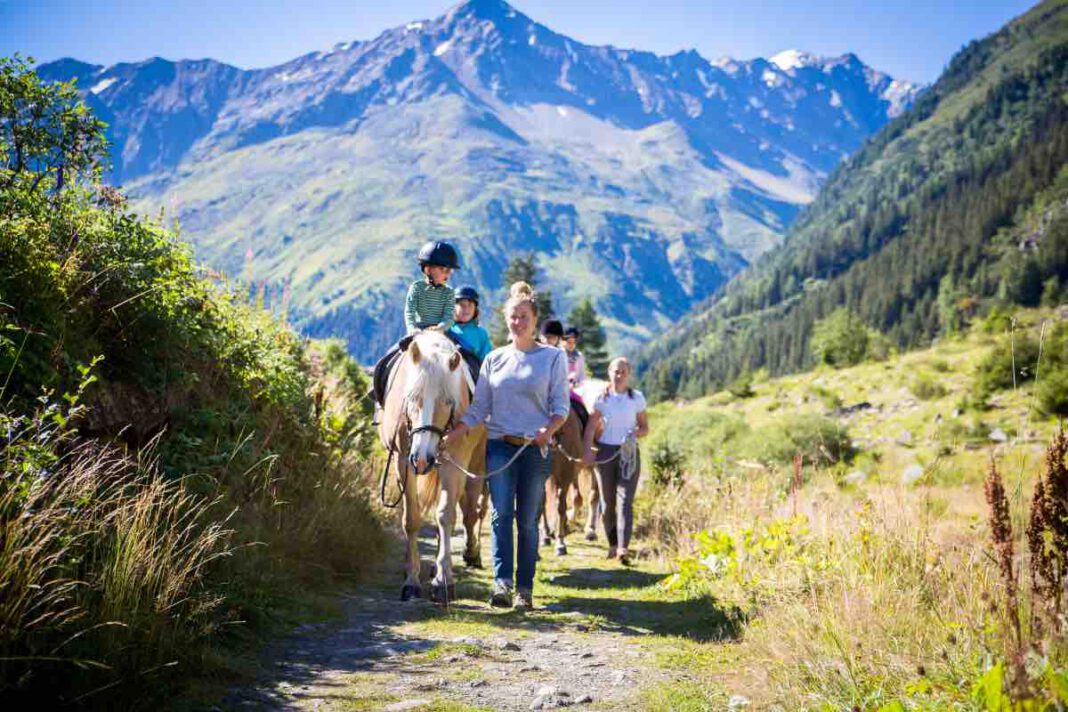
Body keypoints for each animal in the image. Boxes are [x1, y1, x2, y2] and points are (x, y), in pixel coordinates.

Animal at [378, 330, 487, 606]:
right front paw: (411, 581)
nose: (422, 458)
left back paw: (468, 554)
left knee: (470, 510)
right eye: (411, 398)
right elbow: (411, 519)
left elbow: (446, 515)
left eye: (447, 401)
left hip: (475, 462)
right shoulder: (403, 462)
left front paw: (443, 581)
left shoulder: (454, 463)